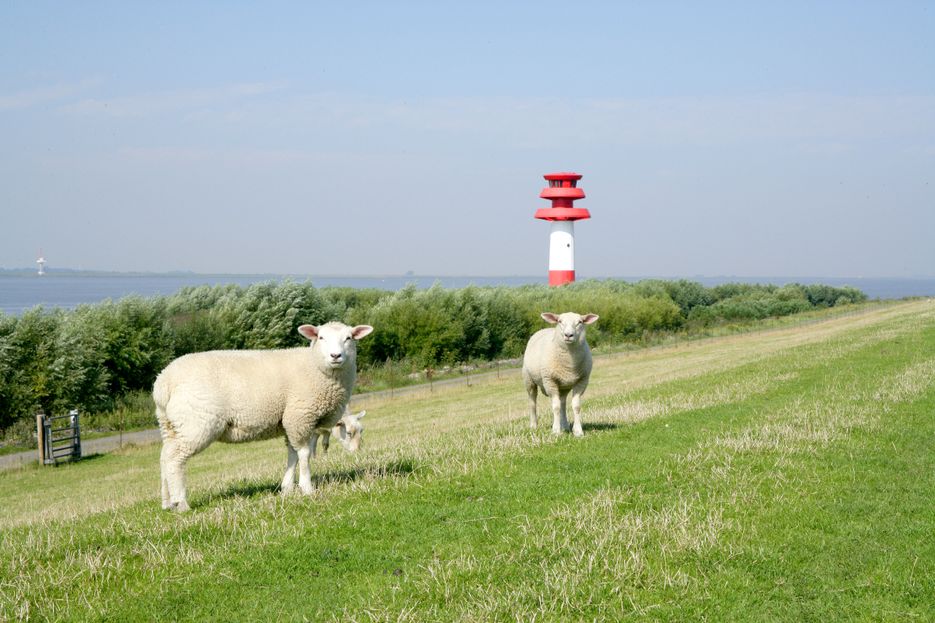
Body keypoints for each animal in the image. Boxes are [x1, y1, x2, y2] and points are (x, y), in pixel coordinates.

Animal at [153, 322, 372, 512]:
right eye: (321, 337)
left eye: (349, 338)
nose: (336, 356)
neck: (315, 366)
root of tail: (163, 382)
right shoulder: (301, 417)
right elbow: (304, 453)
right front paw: (307, 488)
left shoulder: (290, 421)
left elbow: (292, 453)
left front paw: (287, 487)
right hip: (196, 423)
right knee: (175, 459)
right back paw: (181, 503)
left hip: (170, 425)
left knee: (164, 457)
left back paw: (167, 502)